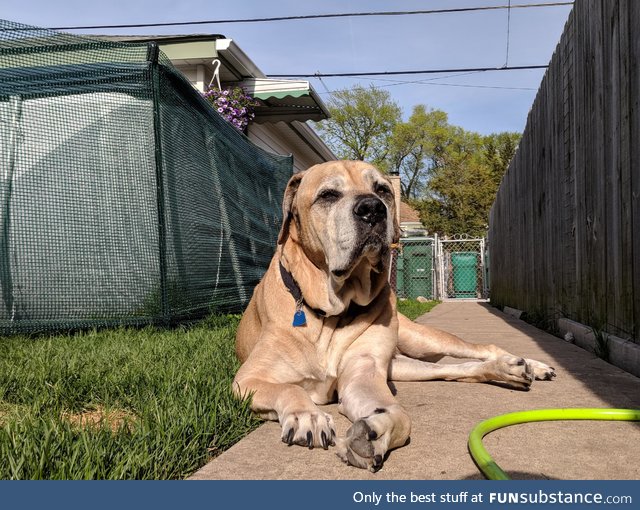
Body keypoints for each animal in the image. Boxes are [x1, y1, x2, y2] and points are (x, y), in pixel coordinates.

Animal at [234, 161, 556, 472]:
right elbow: (288, 388)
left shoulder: (363, 373)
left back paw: (530, 365)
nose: (372, 208)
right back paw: (509, 370)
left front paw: (374, 433)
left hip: (421, 340)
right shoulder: (246, 380)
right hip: (404, 365)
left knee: (479, 349)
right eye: (328, 195)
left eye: (382, 189)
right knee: (453, 369)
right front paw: (308, 416)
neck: (330, 313)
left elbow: (399, 414)